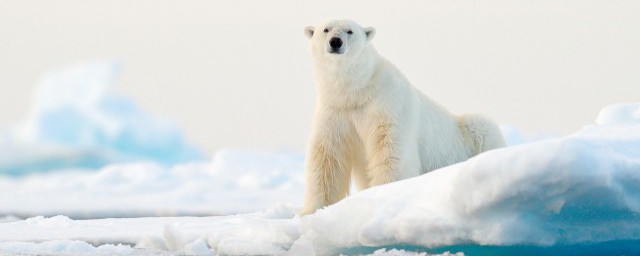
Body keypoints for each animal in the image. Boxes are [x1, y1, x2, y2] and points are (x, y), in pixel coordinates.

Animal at [300, 20, 504, 215]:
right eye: (326, 29)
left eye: (350, 31)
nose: (335, 42)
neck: (358, 91)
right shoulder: (335, 111)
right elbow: (327, 157)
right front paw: (312, 210)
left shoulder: (387, 102)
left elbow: (390, 148)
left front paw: (384, 193)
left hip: (470, 133)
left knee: (482, 127)